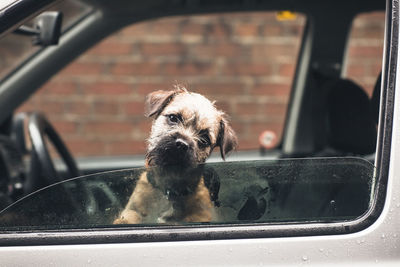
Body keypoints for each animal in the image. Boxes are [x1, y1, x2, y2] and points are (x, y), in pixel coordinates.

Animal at [113, 87, 238, 225]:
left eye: (204, 139)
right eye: (173, 118)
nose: (182, 144)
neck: (168, 189)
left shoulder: (200, 216)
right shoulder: (132, 211)